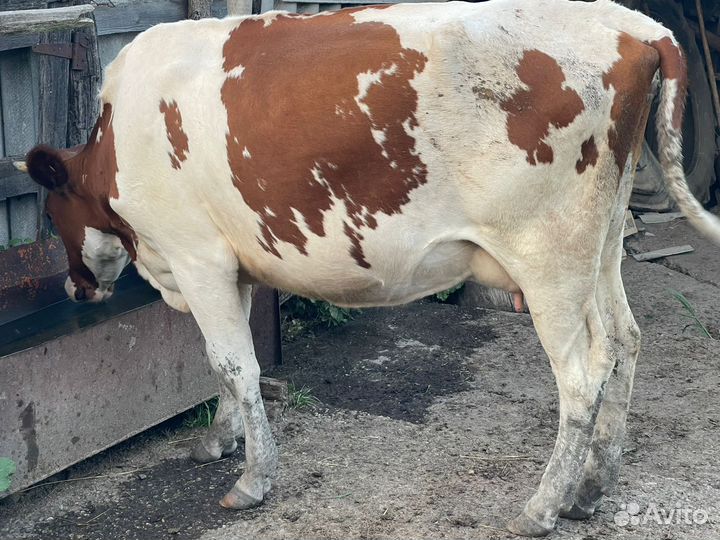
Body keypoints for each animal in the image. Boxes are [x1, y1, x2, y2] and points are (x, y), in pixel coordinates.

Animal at [16, 0, 720, 535]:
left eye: (52, 212)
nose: (76, 288)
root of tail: (631, 24)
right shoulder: (229, 265)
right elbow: (225, 365)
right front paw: (222, 438)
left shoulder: (196, 255)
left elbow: (236, 364)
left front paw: (253, 478)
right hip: (599, 246)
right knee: (624, 342)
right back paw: (592, 485)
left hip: (548, 259)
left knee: (583, 376)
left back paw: (543, 507)